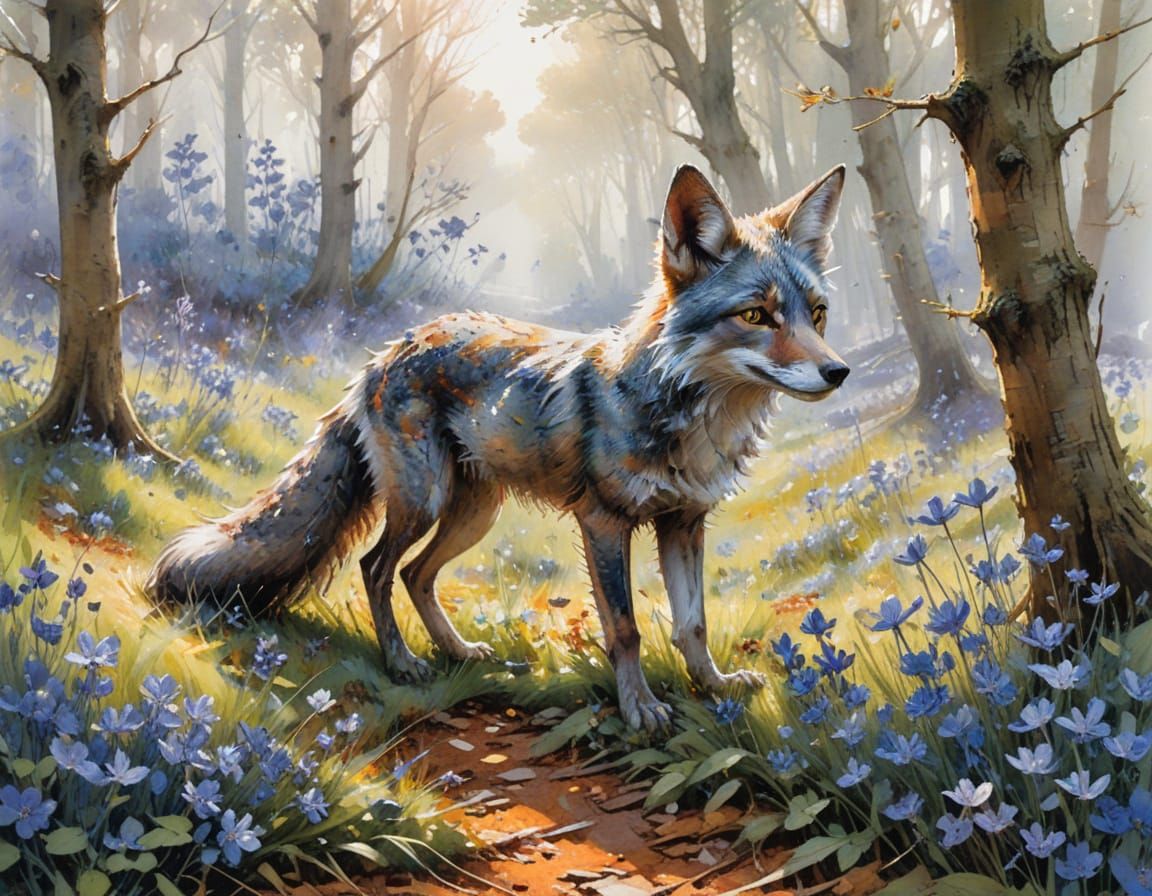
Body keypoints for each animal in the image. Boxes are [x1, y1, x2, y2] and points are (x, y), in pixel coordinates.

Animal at [147, 164, 850, 732]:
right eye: (756, 316)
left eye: (815, 314)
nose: (838, 372)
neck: (688, 419)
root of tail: (386, 352)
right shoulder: (603, 522)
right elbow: (624, 630)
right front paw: (640, 709)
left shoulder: (684, 520)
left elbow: (692, 624)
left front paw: (716, 689)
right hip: (425, 502)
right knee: (376, 568)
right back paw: (402, 662)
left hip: (472, 515)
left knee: (415, 574)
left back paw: (456, 652)